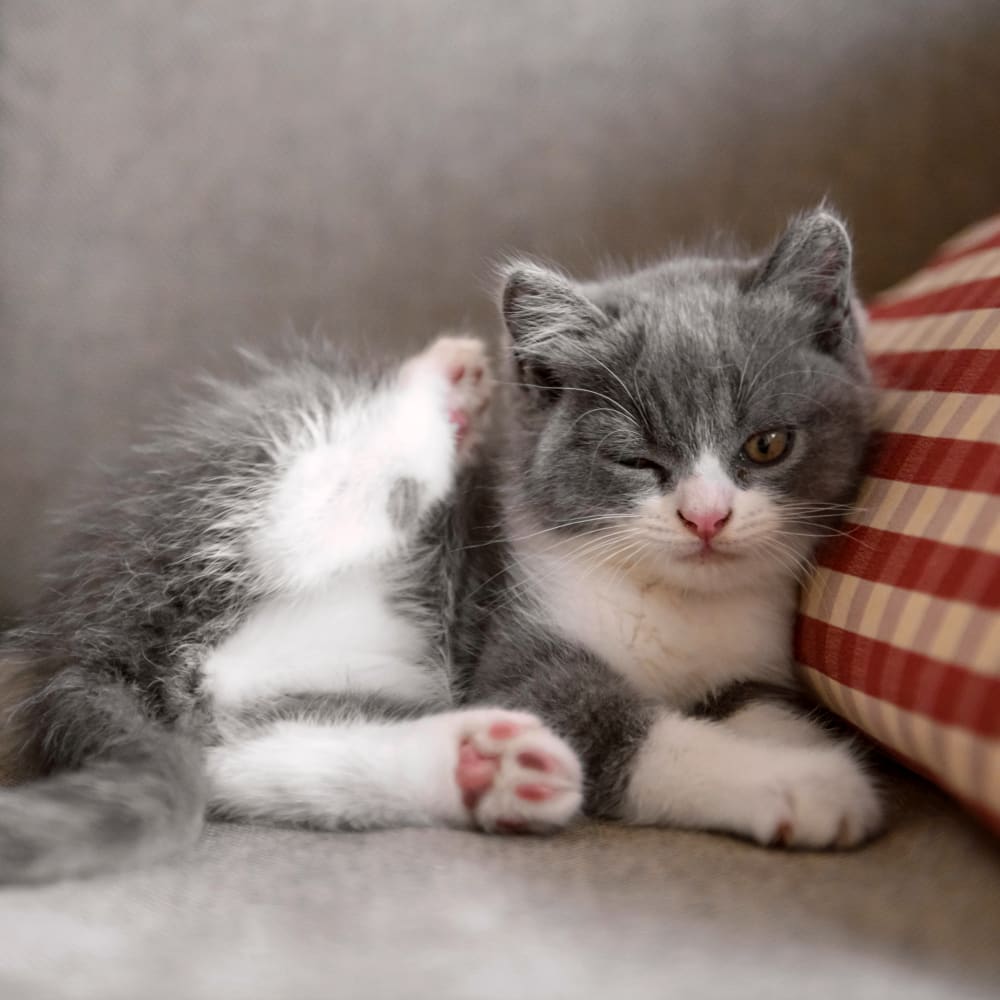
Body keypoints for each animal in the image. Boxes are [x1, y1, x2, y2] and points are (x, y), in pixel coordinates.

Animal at [0, 332, 584, 880]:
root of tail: (96, 642)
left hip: (250, 710)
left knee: (253, 761)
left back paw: (485, 766)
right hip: (238, 493)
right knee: (293, 525)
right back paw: (443, 385)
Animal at [466, 207, 884, 848]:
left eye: (766, 444)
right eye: (636, 460)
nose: (706, 516)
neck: (681, 605)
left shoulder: (750, 661)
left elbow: (761, 703)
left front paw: (805, 745)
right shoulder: (515, 654)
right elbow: (627, 732)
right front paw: (808, 782)